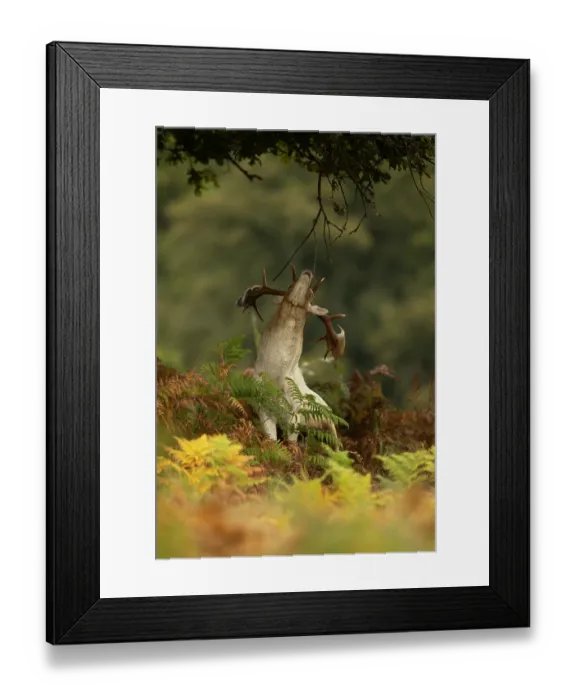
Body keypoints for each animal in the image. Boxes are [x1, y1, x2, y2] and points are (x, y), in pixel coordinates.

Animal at [236, 265, 346, 442]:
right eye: (289, 286)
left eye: (311, 294)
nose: (307, 272)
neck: (275, 375)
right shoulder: (263, 408)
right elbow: (271, 440)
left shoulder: (295, 414)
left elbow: (290, 443)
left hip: (330, 427)